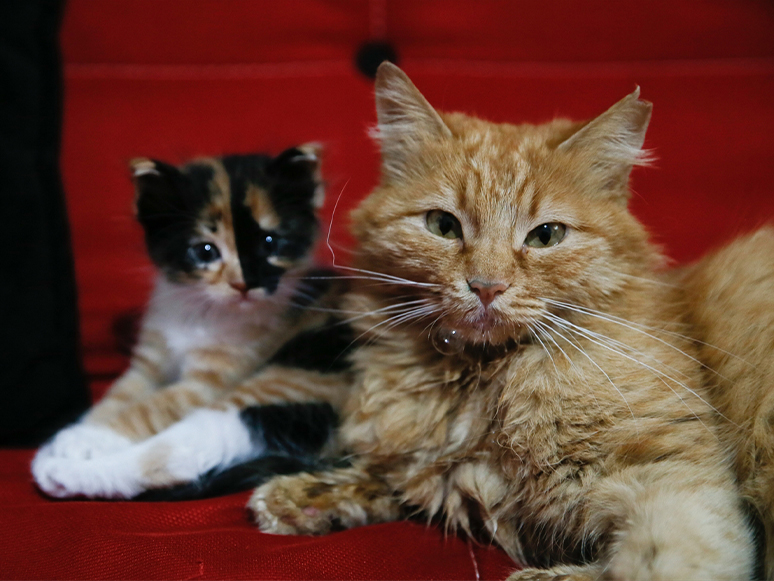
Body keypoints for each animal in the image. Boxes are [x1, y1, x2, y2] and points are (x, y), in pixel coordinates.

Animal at [32, 146, 354, 498]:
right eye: (205, 251)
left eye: (270, 243)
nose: (245, 284)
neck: (200, 312)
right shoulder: (149, 362)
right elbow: (117, 396)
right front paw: (78, 432)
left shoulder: (209, 381)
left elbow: (150, 407)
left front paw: (79, 440)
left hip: (287, 385)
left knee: (176, 456)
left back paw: (59, 472)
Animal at [249, 64, 756, 580]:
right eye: (442, 225)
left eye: (546, 235)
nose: (487, 286)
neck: (485, 382)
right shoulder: (438, 470)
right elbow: (389, 477)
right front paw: (306, 496)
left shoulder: (672, 474)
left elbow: (646, 561)